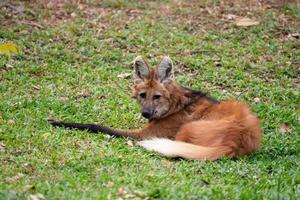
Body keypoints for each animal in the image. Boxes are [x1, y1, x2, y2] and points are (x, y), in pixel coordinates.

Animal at [48, 55, 262, 160]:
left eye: (157, 97)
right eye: (143, 95)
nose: (145, 113)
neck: (175, 105)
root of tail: (237, 141)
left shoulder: (144, 134)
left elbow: (97, 126)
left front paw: (56, 121)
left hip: (186, 130)